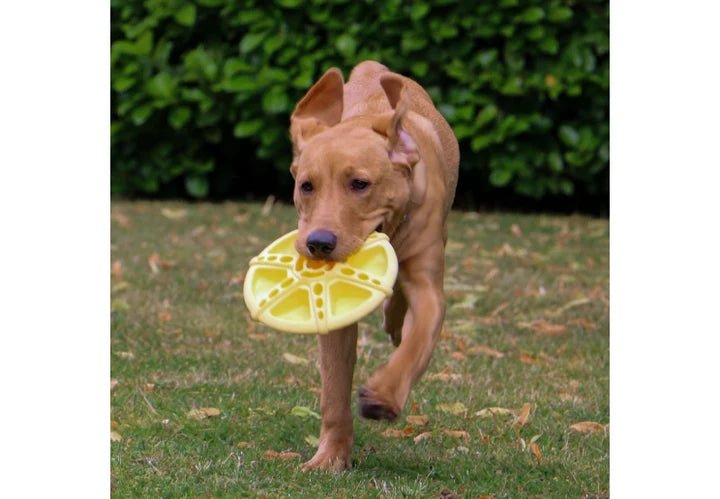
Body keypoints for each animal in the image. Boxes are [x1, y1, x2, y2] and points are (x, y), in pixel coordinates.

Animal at [290, 60, 458, 470]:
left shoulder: (428, 283)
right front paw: (330, 457)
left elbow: (418, 340)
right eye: (307, 186)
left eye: (360, 184)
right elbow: (334, 386)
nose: (319, 243)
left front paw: (383, 395)